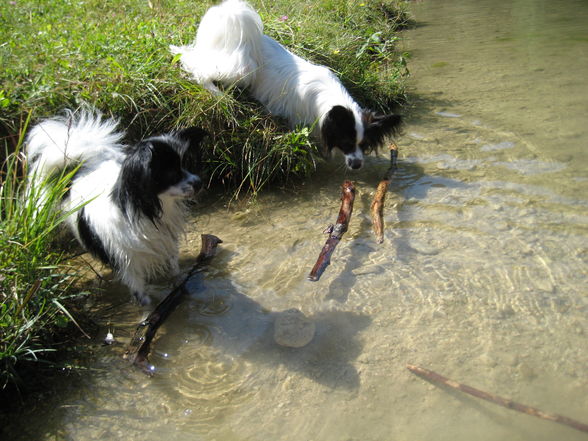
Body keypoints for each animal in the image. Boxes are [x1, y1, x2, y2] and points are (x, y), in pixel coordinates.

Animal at [27, 109, 207, 302]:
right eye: (171, 174)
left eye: (185, 165)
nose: (199, 183)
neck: (145, 209)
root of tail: (87, 164)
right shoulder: (128, 262)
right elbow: (140, 293)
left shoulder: (167, 243)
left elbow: (175, 272)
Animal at [170, 0, 400, 170]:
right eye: (346, 143)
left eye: (364, 145)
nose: (357, 165)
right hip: (240, 69)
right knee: (196, 66)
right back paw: (216, 93)